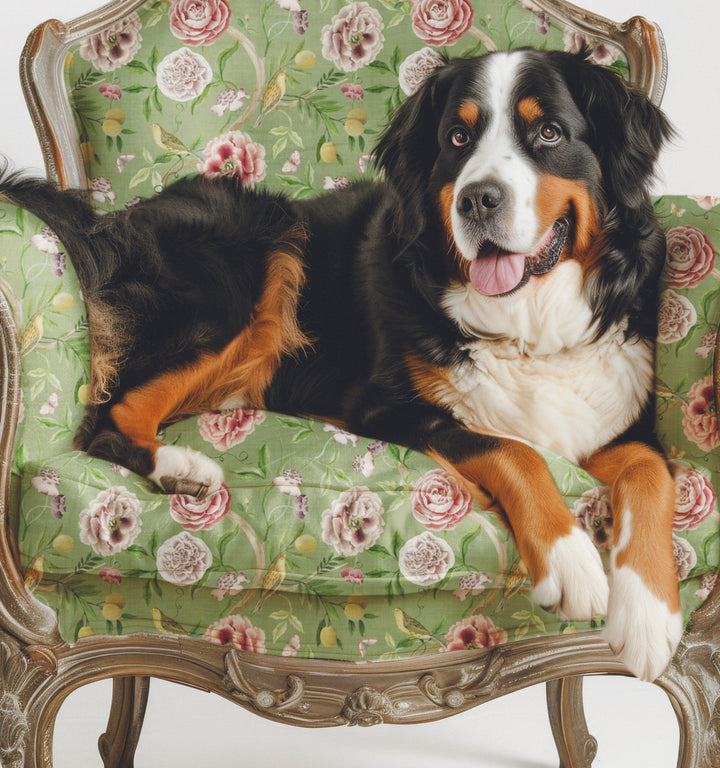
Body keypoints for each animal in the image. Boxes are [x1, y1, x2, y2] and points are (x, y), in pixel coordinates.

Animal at [0, 49, 676, 680]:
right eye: (457, 139)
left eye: (550, 133)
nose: (477, 200)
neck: (526, 330)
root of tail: (114, 221)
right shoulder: (388, 404)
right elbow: (515, 452)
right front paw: (570, 559)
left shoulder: (620, 420)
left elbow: (652, 472)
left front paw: (649, 615)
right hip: (251, 260)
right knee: (106, 418)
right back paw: (181, 468)